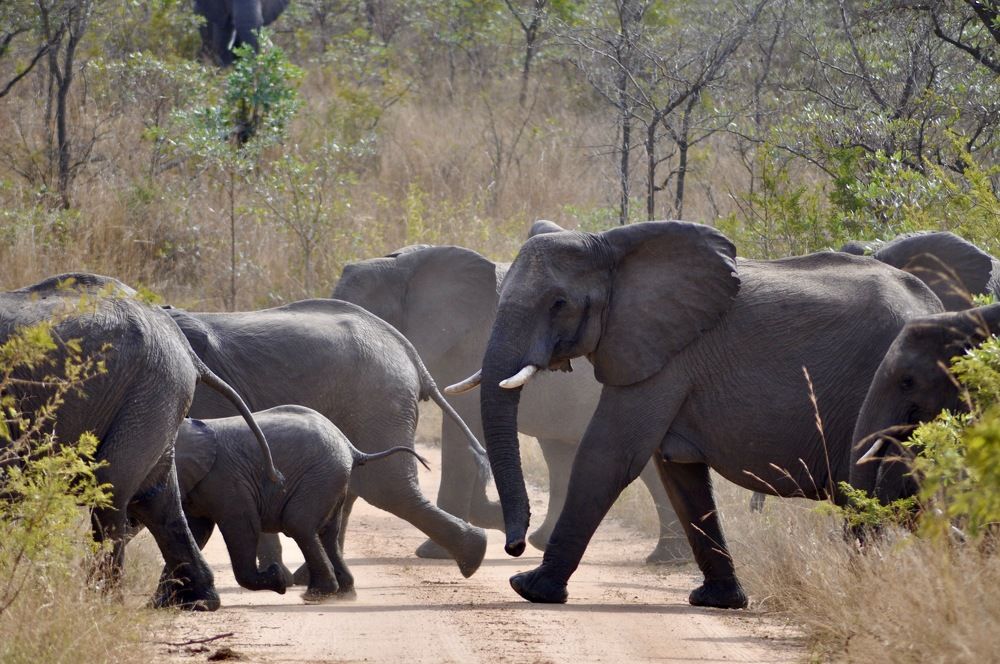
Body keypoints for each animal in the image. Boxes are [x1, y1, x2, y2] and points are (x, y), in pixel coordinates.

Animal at [0, 273, 280, 611]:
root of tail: (183, 346)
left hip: (148, 390)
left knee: (112, 488)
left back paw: (103, 604)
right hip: (154, 394)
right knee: (156, 499)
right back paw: (197, 601)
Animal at [175, 405, 428, 602]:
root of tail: (350, 447)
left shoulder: (225, 481)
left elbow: (241, 526)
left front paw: (276, 579)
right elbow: (196, 530)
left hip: (320, 478)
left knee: (298, 524)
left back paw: (315, 595)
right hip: (332, 481)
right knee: (327, 534)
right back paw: (343, 593)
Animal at [333, 243, 689, 564]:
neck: (402, 268)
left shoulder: (470, 345)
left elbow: (460, 438)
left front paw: (435, 552)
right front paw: (494, 519)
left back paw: (668, 559)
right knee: (560, 455)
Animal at [459, 220, 943, 609]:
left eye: (559, 303)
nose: (514, 545)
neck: (611, 246)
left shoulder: (665, 357)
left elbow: (610, 455)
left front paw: (529, 587)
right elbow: (679, 470)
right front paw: (717, 601)